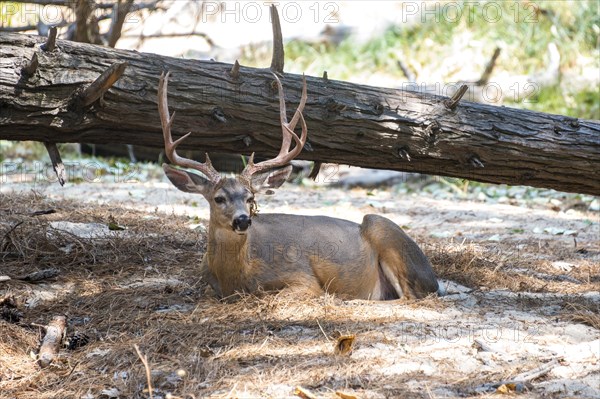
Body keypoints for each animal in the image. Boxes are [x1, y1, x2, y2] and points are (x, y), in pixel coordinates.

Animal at [159, 72, 440, 302]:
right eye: (219, 198)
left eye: (250, 197)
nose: (242, 220)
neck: (235, 278)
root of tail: (436, 281)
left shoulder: (302, 277)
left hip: (380, 227)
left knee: (410, 297)